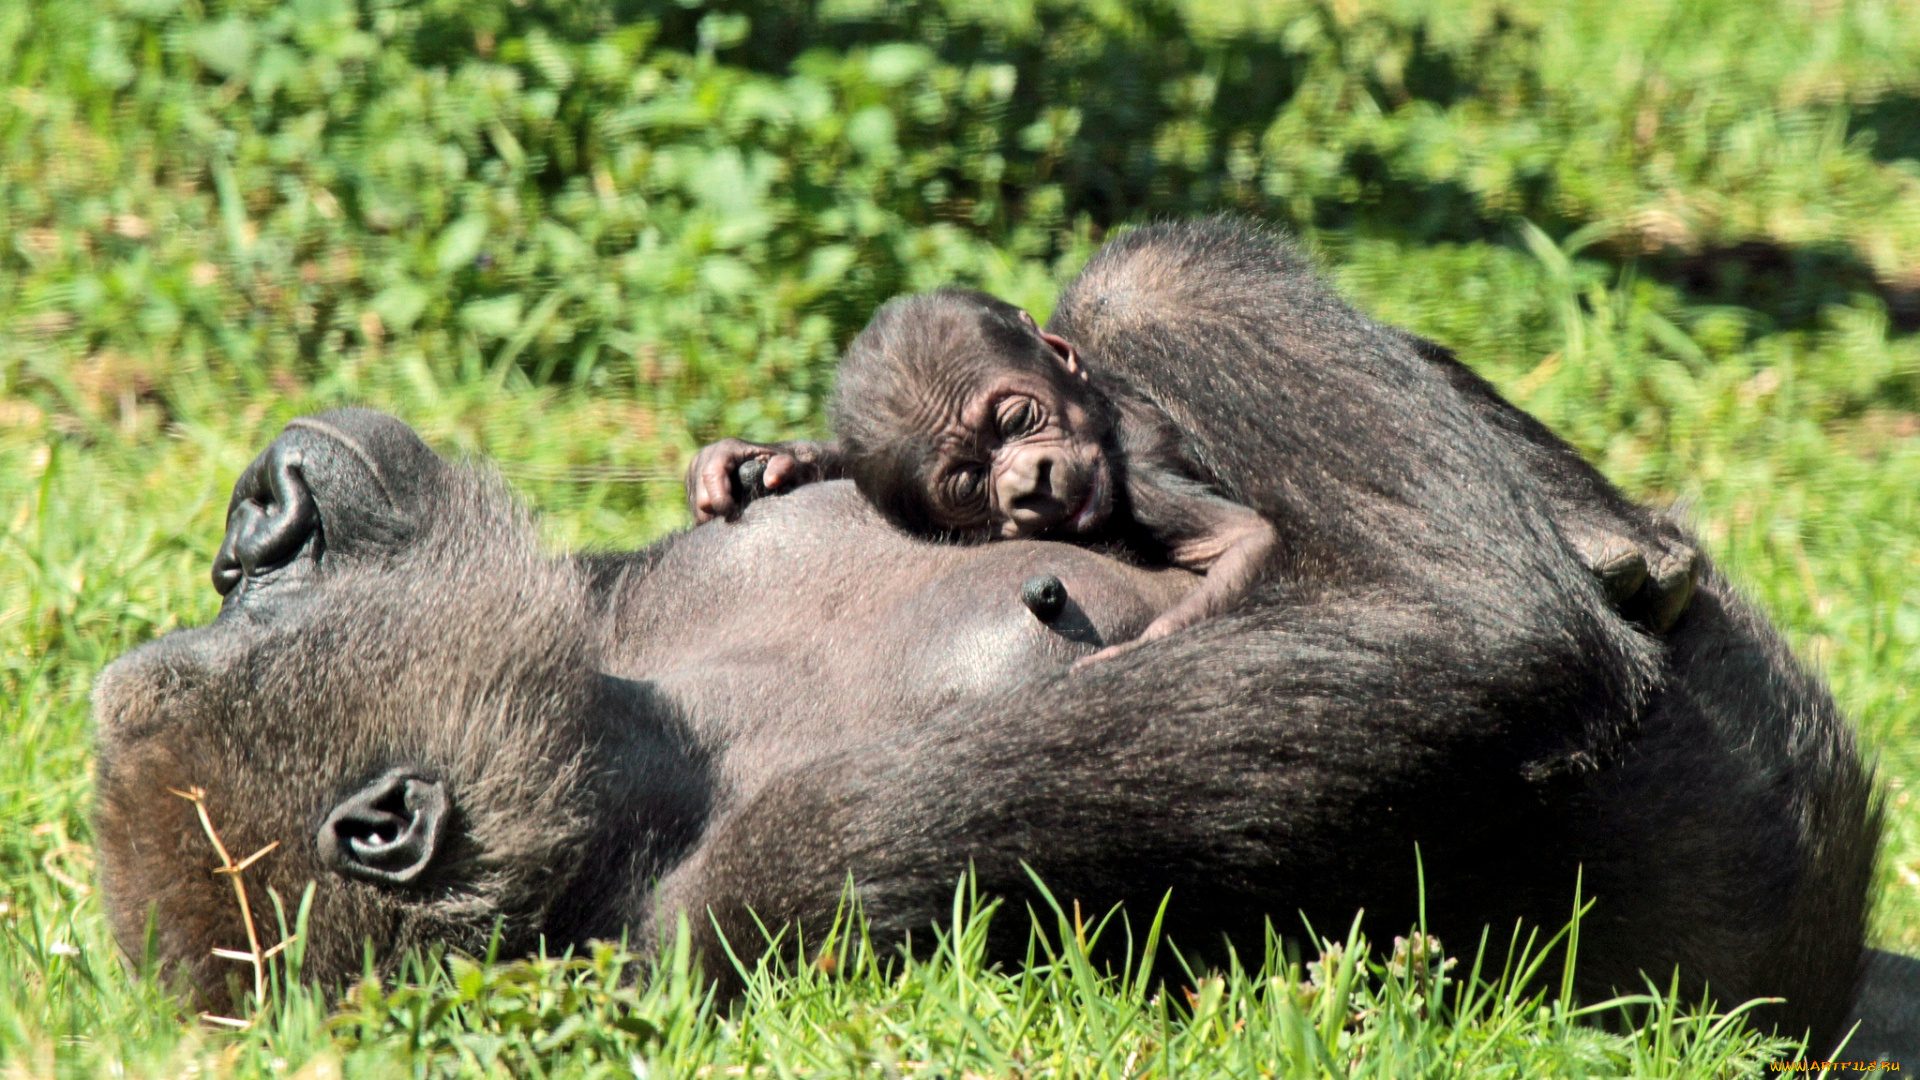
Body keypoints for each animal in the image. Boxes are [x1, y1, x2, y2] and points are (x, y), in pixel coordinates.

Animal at [90, 220, 1889, 1053]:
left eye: (231, 602)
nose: (261, 511)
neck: (652, 751)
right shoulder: (769, 883)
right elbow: (1465, 638)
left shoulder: (615, 601)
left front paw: (763, 461)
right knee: (1161, 281)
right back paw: (1629, 551)